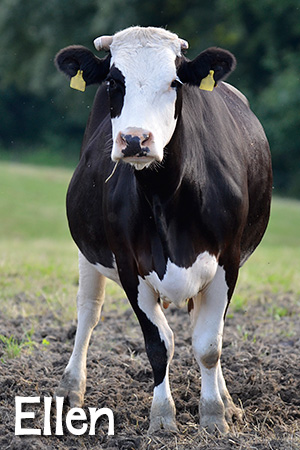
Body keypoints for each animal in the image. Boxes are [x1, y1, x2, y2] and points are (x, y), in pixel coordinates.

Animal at [55, 26, 274, 434]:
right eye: (114, 81)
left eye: (175, 82)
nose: (134, 140)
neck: (166, 197)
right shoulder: (129, 265)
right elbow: (159, 345)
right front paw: (162, 418)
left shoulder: (228, 261)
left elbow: (208, 345)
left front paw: (214, 415)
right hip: (87, 254)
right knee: (88, 313)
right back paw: (70, 389)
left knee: (207, 327)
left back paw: (227, 400)